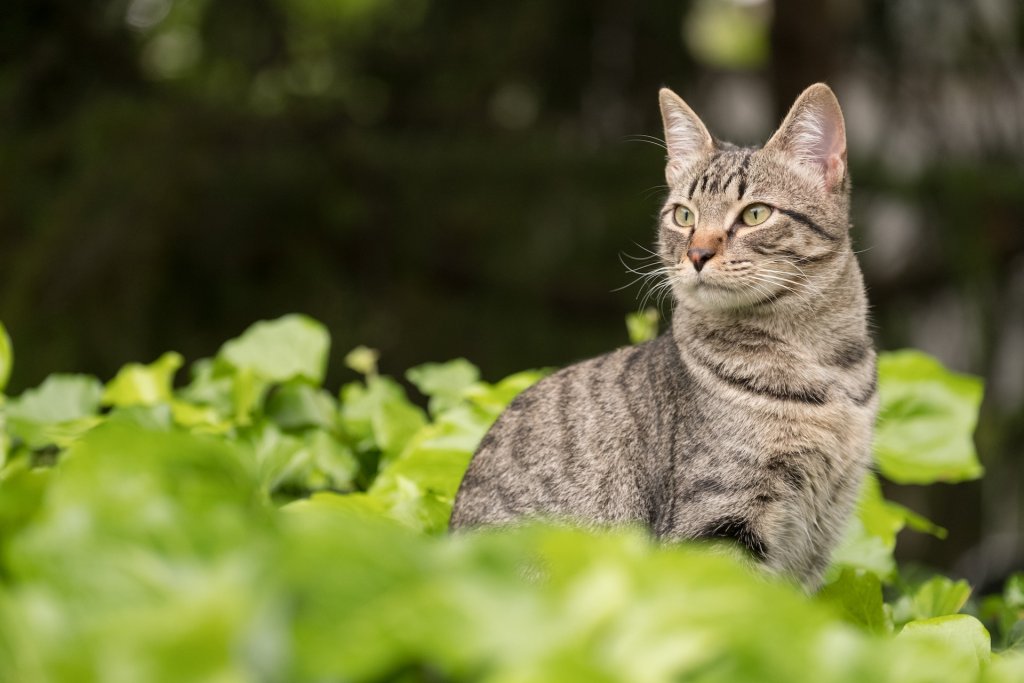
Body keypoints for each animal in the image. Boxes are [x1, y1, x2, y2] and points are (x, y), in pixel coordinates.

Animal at [452, 82, 876, 589]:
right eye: (683, 215)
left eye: (755, 214)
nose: (697, 253)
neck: (827, 368)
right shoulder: (718, 520)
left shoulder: (818, 537)